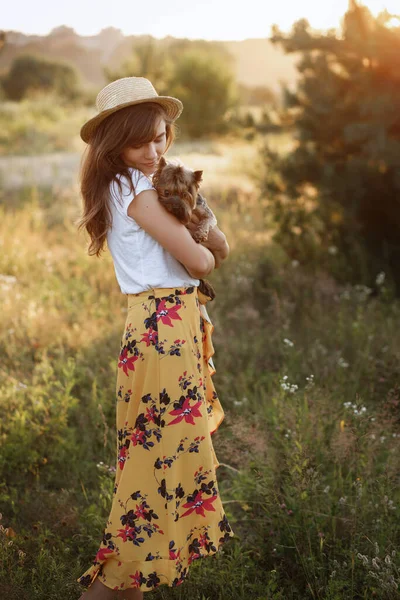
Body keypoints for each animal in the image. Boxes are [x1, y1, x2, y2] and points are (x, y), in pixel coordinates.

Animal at [152, 156, 217, 300]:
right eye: (166, 192)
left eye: (184, 195)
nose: (176, 206)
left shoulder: (206, 212)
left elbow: (207, 220)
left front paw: (200, 234)